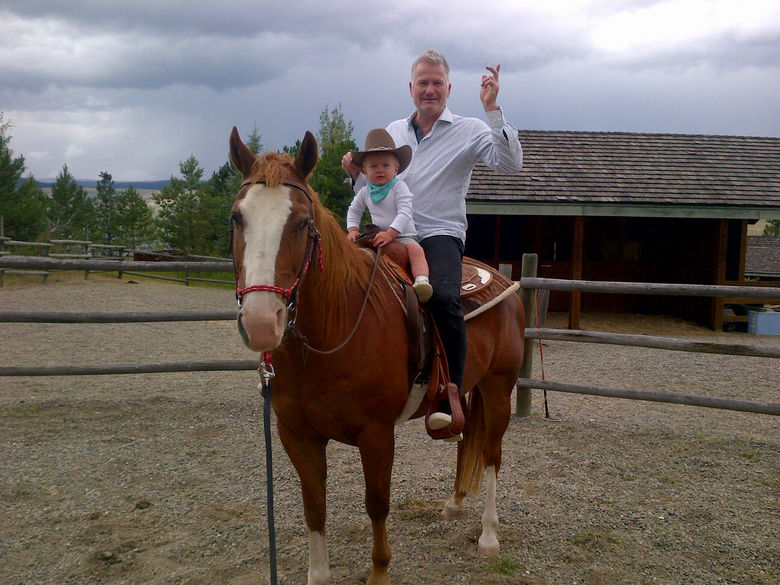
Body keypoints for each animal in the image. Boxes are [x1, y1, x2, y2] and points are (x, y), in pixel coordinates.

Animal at [229, 128, 528, 584]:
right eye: (236, 218)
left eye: (302, 223)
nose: (262, 322)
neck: (333, 333)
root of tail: (499, 278)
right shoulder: (296, 434)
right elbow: (314, 507)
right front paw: (319, 574)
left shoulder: (376, 434)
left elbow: (377, 503)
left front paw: (380, 571)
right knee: (466, 441)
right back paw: (455, 502)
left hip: (499, 388)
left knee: (492, 453)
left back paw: (489, 535)